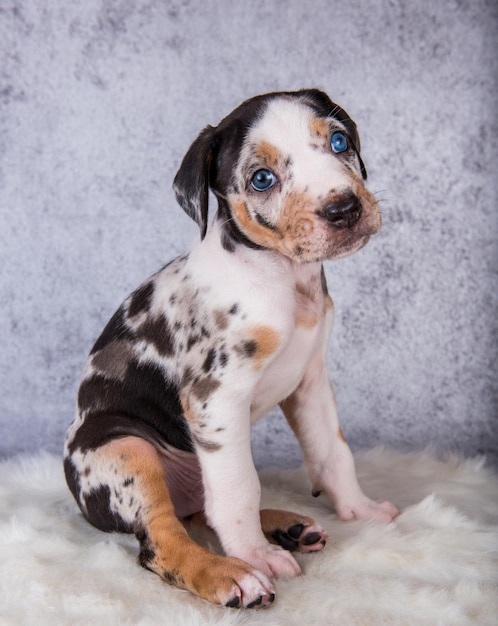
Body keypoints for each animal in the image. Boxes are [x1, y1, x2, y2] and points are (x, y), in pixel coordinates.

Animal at [64, 90, 398, 608]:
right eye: (262, 178)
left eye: (339, 141)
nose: (343, 208)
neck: (284, 279)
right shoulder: (216, 395)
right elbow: (241, 485)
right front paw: (255, 557)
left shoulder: (311, 381)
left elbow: (332, 452)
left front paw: (359, 510)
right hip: (124, 448)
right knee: (165, 539)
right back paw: (231, 573)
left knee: (202, 510)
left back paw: (288, 527)